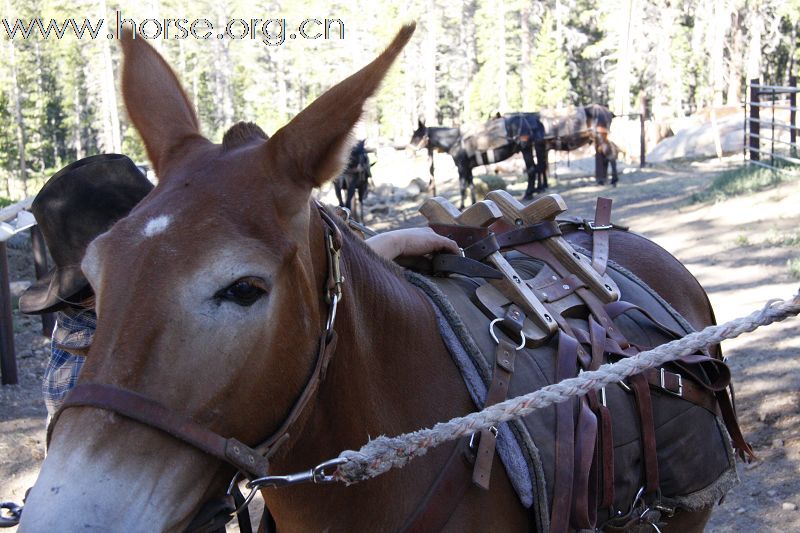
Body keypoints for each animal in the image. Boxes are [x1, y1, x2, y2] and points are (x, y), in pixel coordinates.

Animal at [410, 114, 548, 208]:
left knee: (532, 169)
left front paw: (461, 206)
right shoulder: (468, 168)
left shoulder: (461, 167)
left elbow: (462, 186)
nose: (408, 150)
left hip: (526, 148)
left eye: (417, 136)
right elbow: (471, 184)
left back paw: (528, 193)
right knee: (539, 167)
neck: (455, 141)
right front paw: (473, 202)